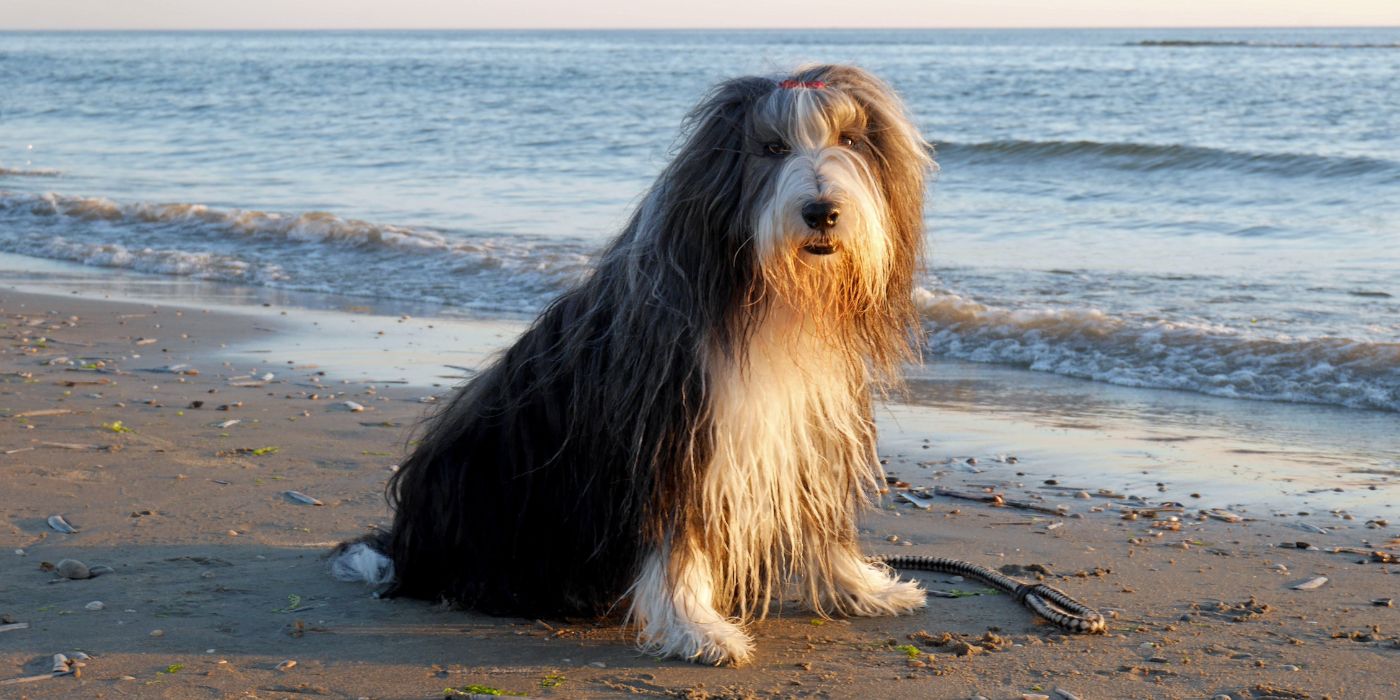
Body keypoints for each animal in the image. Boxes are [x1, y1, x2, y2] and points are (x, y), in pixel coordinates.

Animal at [331, 63, 935, 663]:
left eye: (850, 140)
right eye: (771, 147)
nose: (822, 212)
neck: (770, 297)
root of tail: (406, 544)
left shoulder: (809, 428)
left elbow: (821, 520)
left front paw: (861, 588)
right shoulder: (675, 439)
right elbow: (676, 542)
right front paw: (697, 628)